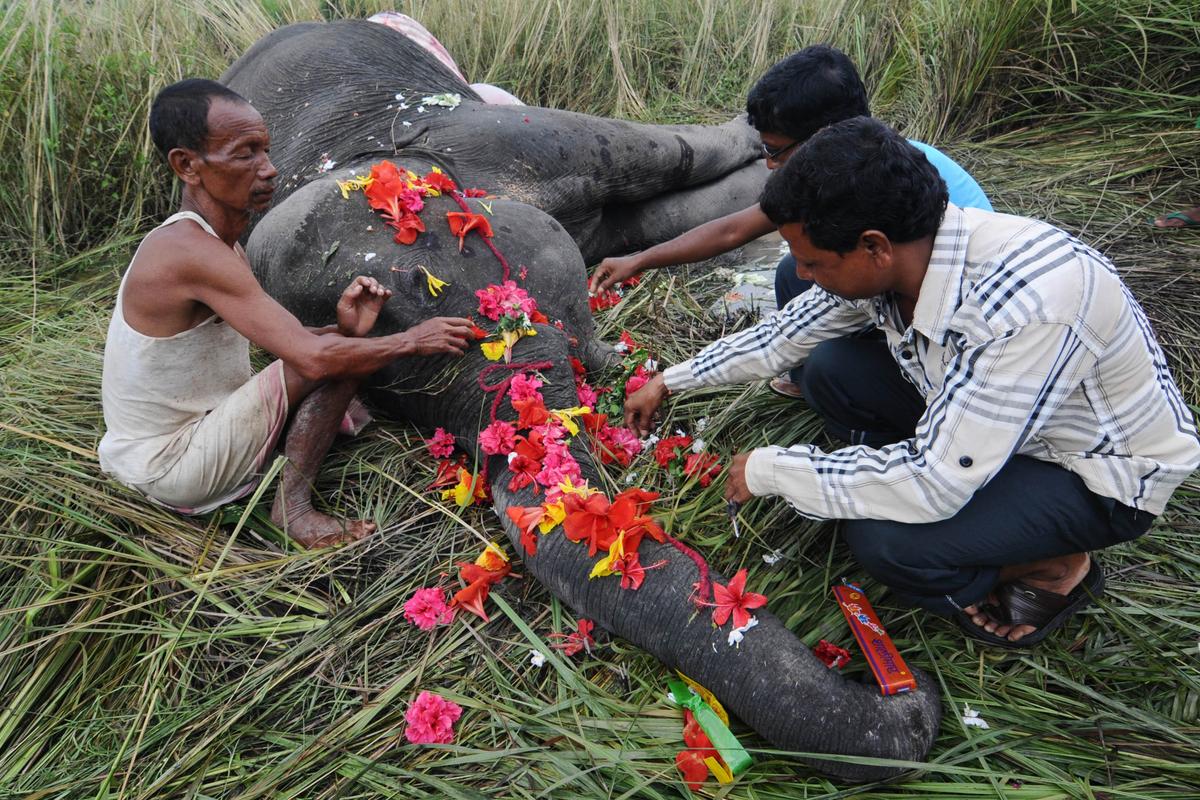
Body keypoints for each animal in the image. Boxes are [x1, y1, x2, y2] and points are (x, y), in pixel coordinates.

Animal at [224, 20, 943, 783]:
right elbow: (656, 214)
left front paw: (776, 159)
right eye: (388, 381)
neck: (354, 160)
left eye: (427, 301)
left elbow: (657, 152)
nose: (910, 688)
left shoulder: (497, 138)